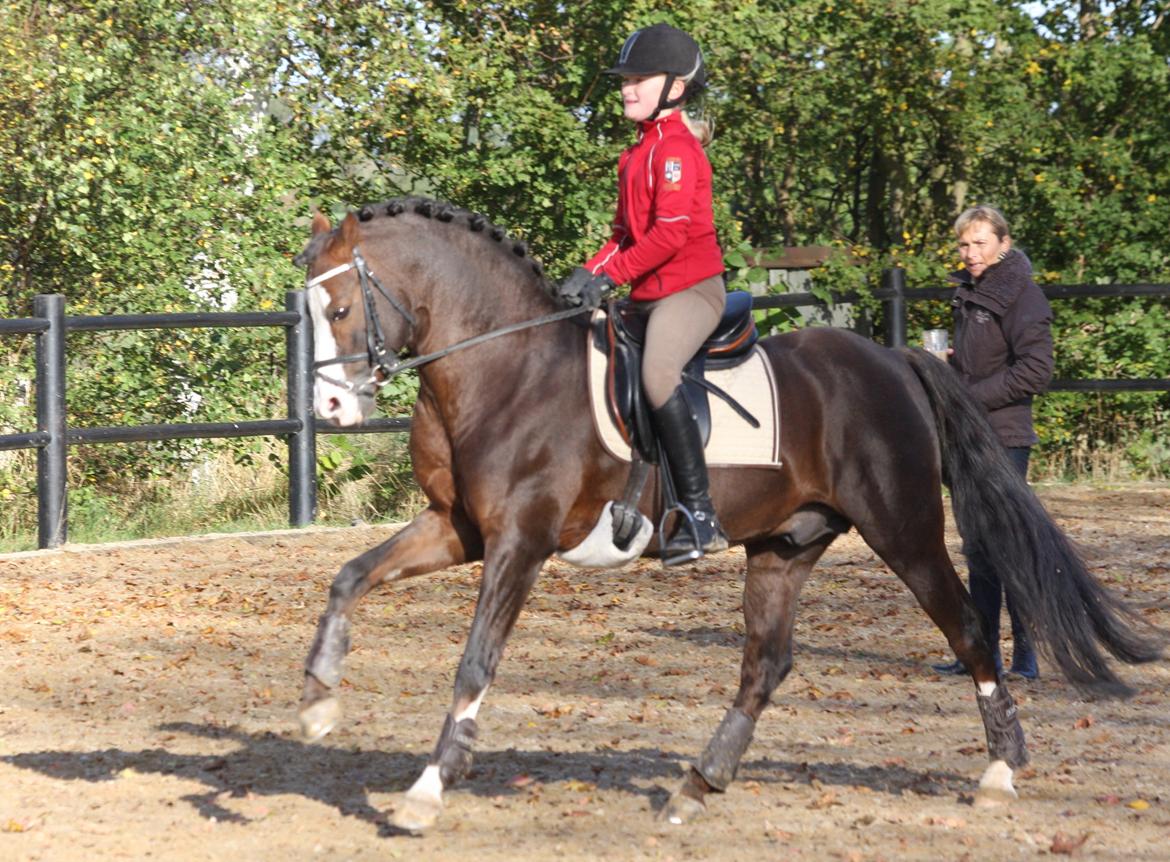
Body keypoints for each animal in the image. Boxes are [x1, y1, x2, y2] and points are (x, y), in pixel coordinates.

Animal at [290, 198, 1160, 832]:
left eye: (340, 308)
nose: (330, 409)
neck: (503, 364)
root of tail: (894, 357)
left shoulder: (519, 542)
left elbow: (476, 659)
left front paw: (428, 788)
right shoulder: (457, 529)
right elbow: (349, 576)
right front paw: (320, 699)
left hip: (904, 531)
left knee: (967, 627)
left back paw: (1001, 768)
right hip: (784, 545)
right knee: (766, 663)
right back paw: (697, 784)